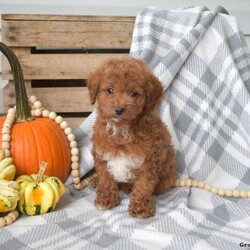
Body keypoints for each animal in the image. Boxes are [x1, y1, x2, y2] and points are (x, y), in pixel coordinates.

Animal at [87, 56, 177, 217]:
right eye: (110, 90)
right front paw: (106, 199)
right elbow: (105, 178)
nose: (119, 109)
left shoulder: (150, 159)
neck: (121, 131)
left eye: (134, 94)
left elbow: (144, 185)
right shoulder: (101, 154)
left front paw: (140, 207)